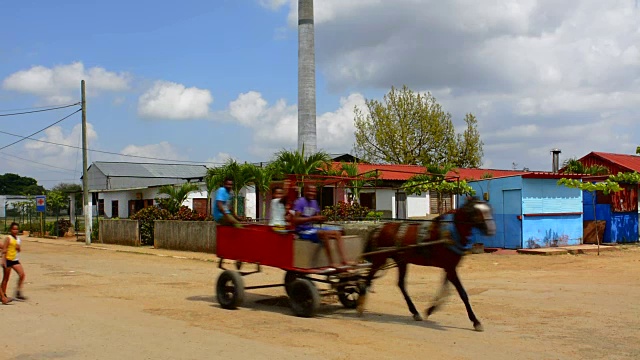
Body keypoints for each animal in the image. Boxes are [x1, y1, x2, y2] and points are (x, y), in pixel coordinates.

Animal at [358, 197, 498, 332]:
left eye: (489, 209)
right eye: (475, 212)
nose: (491, 230)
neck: (451, 232)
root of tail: (379, 228)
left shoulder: (449, 267)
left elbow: (445, 290)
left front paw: (430, 309)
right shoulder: (450, 268)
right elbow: (462, 293)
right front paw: (476, 321)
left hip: (401, 261)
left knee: (400, 284)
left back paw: (415, 312)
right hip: (380, 259)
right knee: (368, 278)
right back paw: (360, 304)